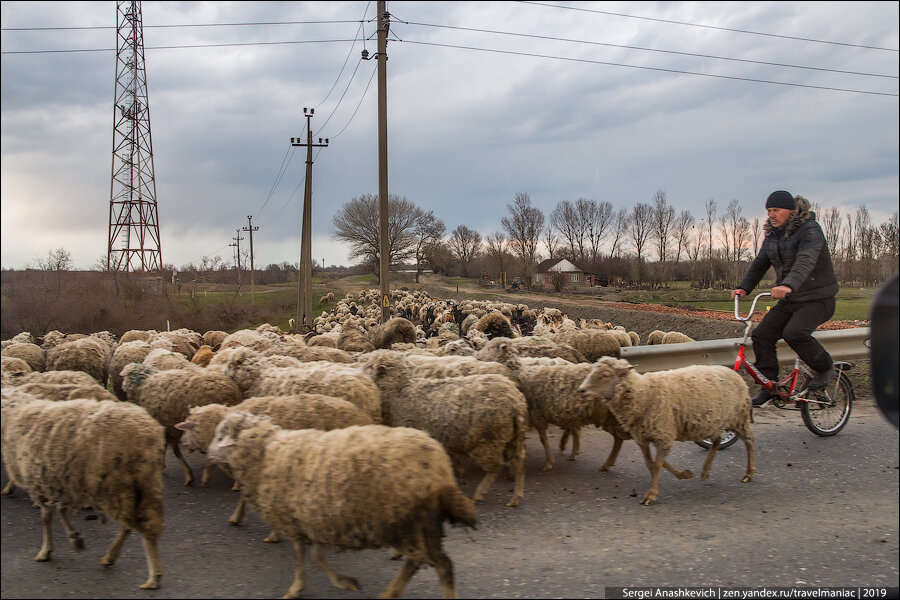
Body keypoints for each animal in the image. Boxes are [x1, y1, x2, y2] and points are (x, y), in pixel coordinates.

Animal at [1, 390, 165, 592]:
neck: (13, 414)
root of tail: (148, 432)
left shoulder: (40, 483)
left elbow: (46, 518)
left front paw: (47, 549)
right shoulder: (59, 481)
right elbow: (60, 511)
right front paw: (74, 538)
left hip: (118, 486)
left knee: (141, 526)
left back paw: (153, 577)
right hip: (144, 484)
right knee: (133, 525)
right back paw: (111, 557)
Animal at [121, 360, 246, 488]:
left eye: (126, 377)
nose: (122, 386)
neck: (144, 384)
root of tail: (234, 391)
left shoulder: (168, 427)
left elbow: (174, 451)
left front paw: (186, 474)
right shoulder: (170, 428)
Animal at [208, 412, 482, 600]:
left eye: (221, 435)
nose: (209, 454)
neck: (266, 455)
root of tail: (440, 466)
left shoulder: (295, 521)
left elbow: (301, 557)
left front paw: (296, 588)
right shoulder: (314, 517)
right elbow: (317, 556)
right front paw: (343, 581)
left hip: (410, 521)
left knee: (442, 565)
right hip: (418, 526)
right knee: (418, 562)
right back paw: (390, 592)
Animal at [358, 350, 528, 508]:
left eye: (369, 366)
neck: (399, 392)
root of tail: (515, 401)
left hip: (488, 442)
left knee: (495, 467)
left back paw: (478, 495)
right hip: (514, 437)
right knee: (519, 462)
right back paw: (516, 496)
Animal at [576, 356, 752, 506]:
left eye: (605, 375)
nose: (580, 390)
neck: (644, 394)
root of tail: (734, 372)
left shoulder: (663, 434)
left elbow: (657, 465)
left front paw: (651, 494)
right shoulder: (644, 437)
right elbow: (651, 464)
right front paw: (684, 474)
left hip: (739, 417)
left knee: (749, 442)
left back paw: (749, 473)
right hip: (713, 422)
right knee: (717, 441)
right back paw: (706, 470)